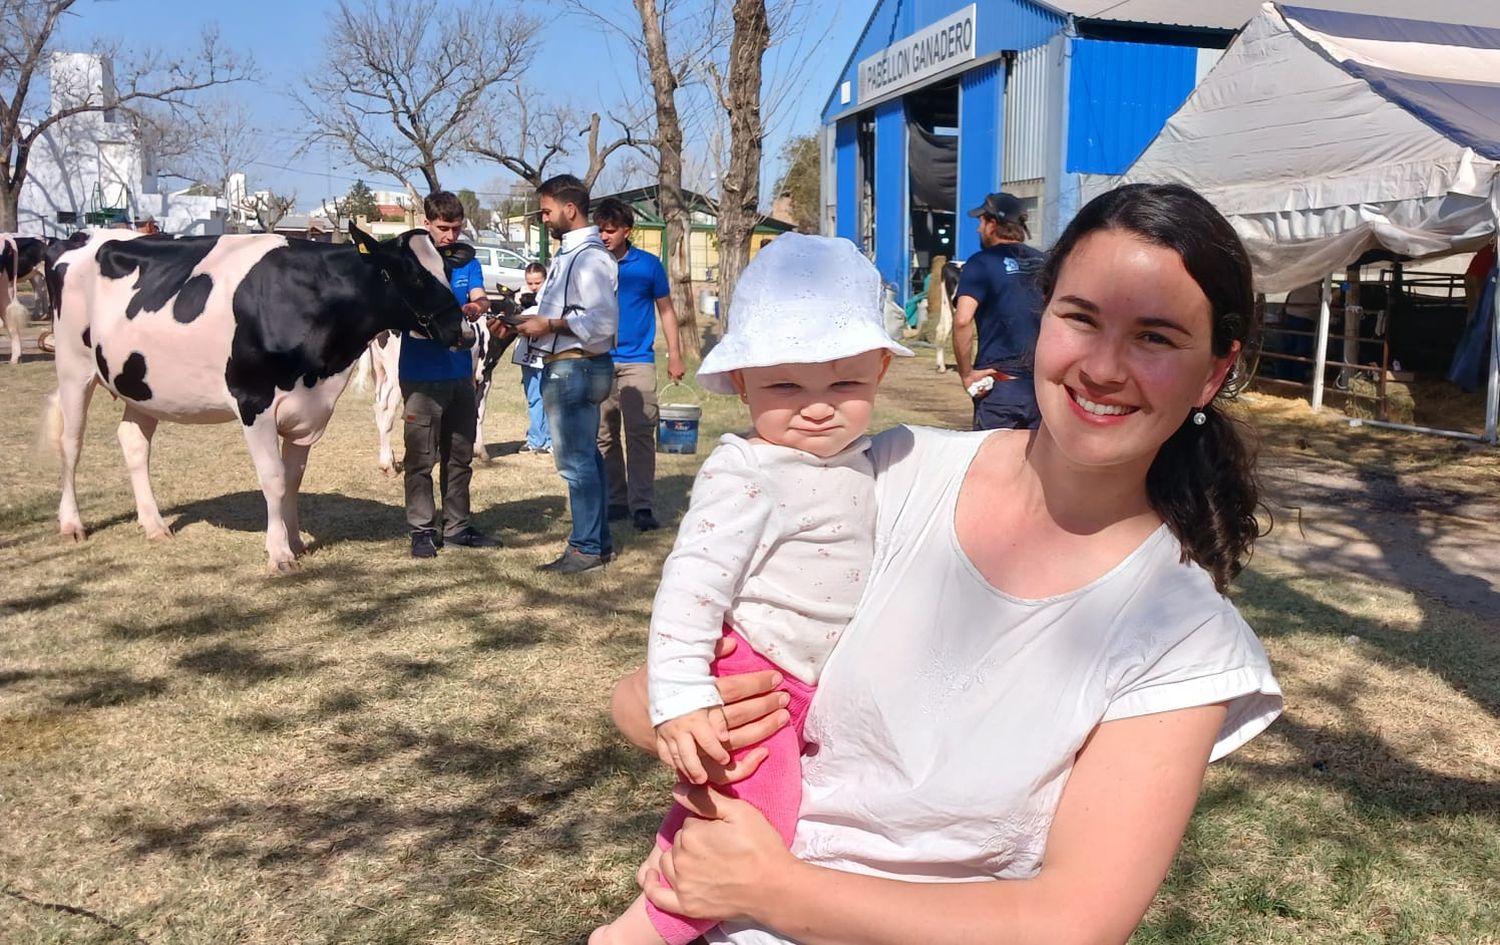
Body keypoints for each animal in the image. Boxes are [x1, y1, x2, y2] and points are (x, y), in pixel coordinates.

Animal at [43, 226, 474, 573]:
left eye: (446, 268)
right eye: (413, 273)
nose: (464, 331)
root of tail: (81, 236)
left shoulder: (311, 408)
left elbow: (294, 477)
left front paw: (297, 541)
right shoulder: (254, 401)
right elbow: (273, 478)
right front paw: (279, 552)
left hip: (141, 384)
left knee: (134, 443)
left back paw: (155, 525)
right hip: (73, 367)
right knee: (70, 443)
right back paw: (72, 524)